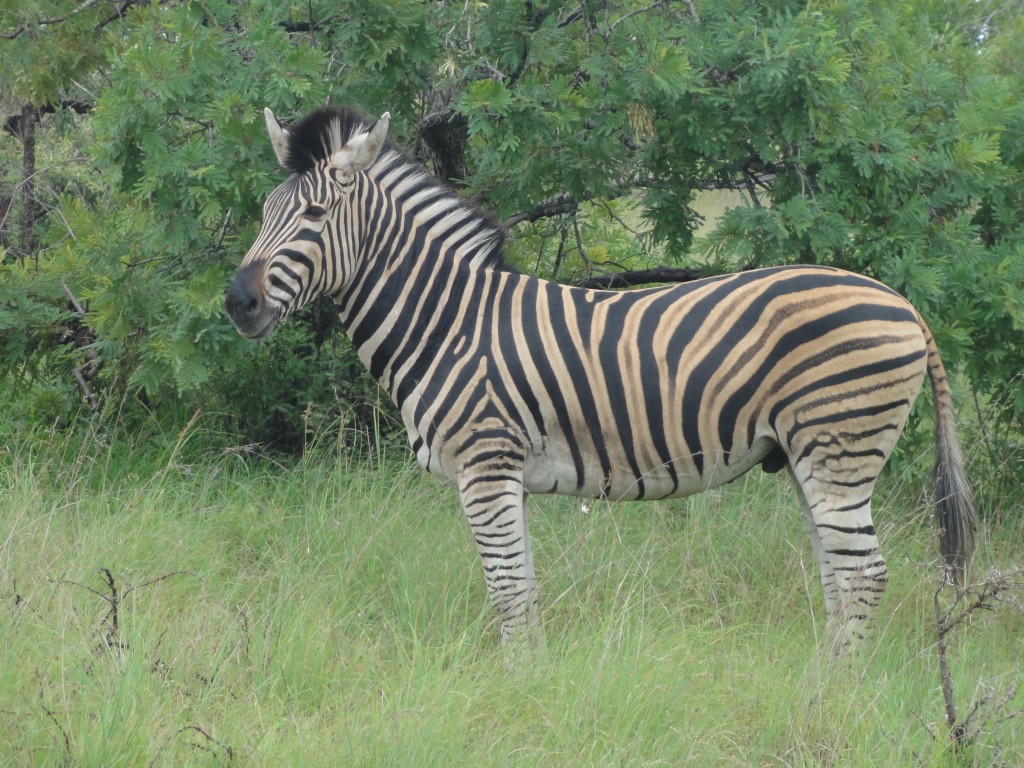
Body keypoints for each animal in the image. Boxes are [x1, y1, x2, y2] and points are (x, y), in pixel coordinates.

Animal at [225, 106, 976, 656]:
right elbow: (522, 587)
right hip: (807, 455)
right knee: (839, 571)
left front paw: (520, 687)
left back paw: (831, 690)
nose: (238, 303)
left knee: (863, 573)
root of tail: (903, 302)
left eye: (315, 216)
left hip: (839, 445)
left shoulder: (486, 466)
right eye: (263, 212)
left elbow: (509, 591)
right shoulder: (503, 476)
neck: (448, 323)